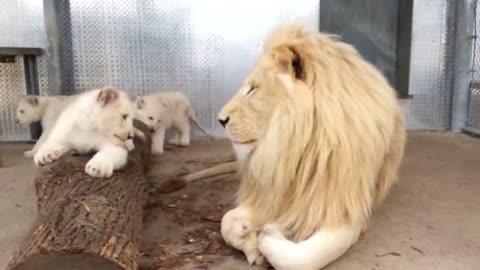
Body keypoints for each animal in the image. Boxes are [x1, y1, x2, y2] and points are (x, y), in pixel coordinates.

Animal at [210, 24, 404, 268]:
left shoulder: (344, 209)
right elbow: (226, 222)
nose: (220, 120)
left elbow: (302, 259)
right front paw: (251, 244)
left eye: (253, 88)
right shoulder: (272, 194)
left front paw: (270, 234)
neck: (293, 150)